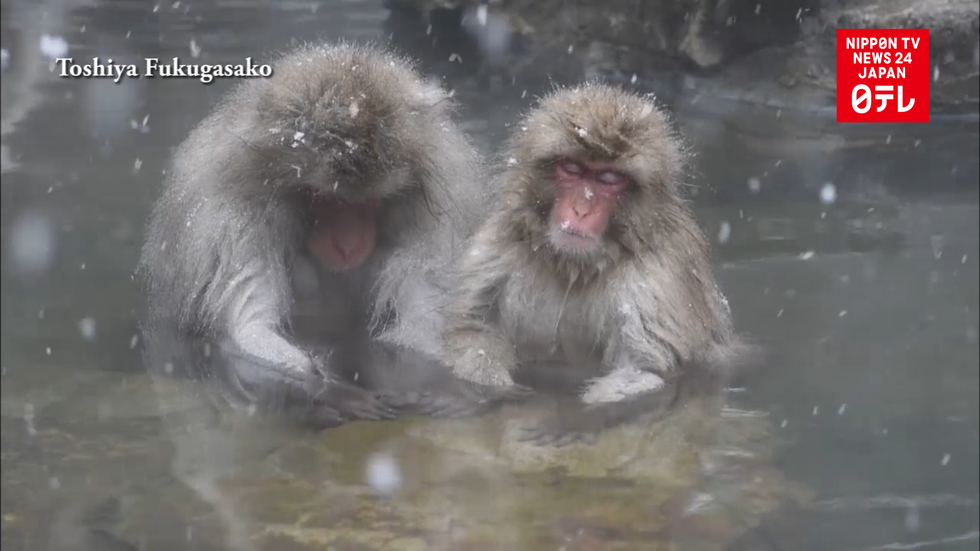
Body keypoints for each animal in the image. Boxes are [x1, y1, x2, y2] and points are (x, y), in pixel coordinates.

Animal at [138, 41, 486, 429]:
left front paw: (448, 388)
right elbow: (247, 332)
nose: (347, 244)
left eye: (370, 202)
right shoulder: (230, 222)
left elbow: (424, 323)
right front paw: (328, 392)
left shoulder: (439, 217)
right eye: (326, 200)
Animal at [438, 83, 751, 446]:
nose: (581, 210)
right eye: (572, 169)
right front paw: (490, 393)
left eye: (609, 178)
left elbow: (644, 370)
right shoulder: (499, 243)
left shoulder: (657, 278)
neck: (573, 266)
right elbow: (474, 329)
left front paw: (573, 419)